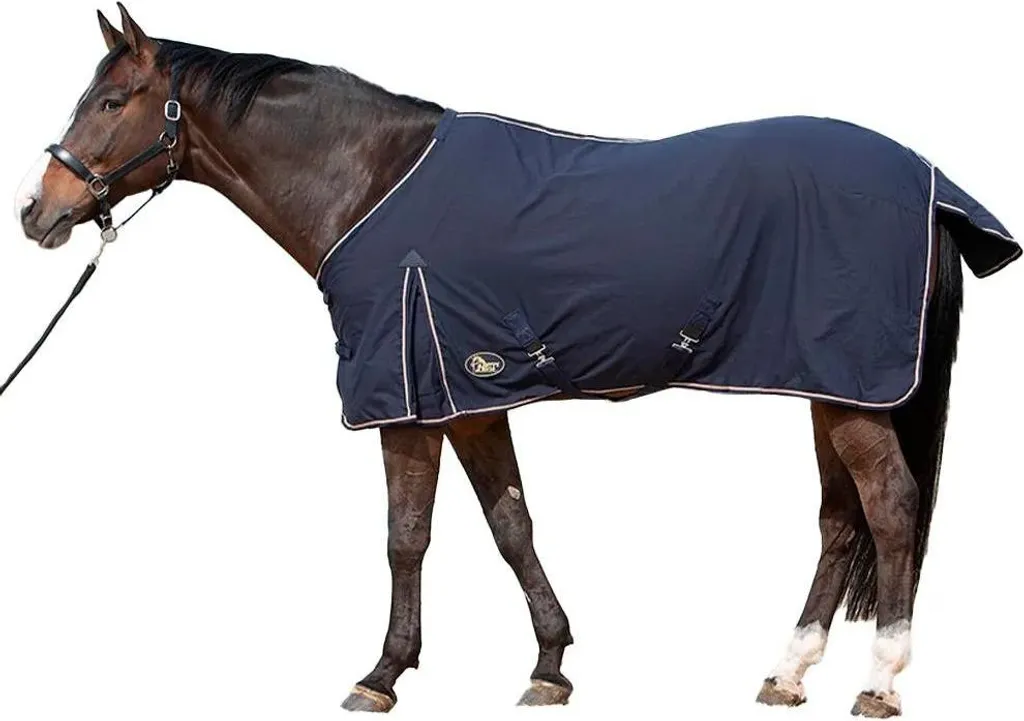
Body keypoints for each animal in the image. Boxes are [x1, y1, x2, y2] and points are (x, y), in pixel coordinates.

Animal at [13, 5, 1019, 717]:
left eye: (110, 103)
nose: (36, 211)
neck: (370, 181)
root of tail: (931, 186)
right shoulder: (470, 395)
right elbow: (510, 524)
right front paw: (549, 664)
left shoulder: (405, 401)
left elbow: (406, 536)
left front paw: (381, 673)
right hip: (824, 383)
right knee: (841, 521)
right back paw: (785, 672)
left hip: (854, 392)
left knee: (890, 509)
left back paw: (880, 682)